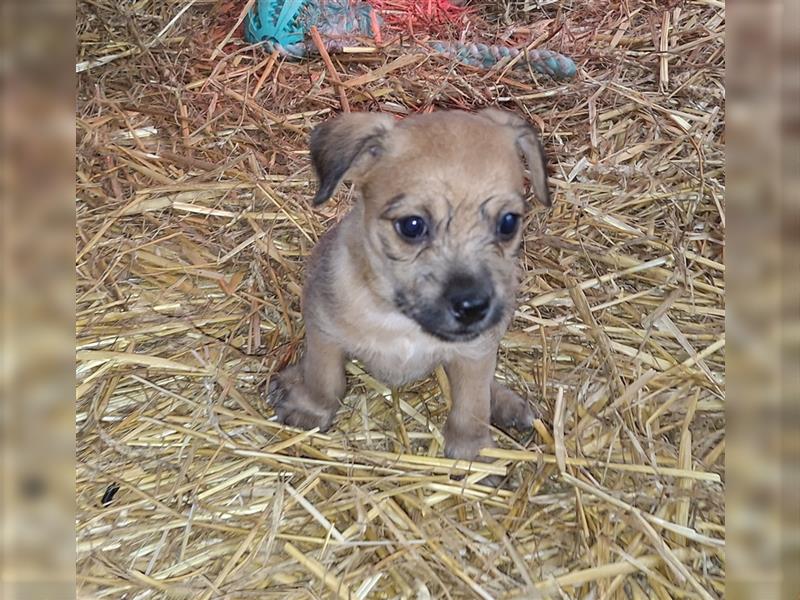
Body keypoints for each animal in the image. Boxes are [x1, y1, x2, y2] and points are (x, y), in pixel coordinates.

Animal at [268, 108, 552, 460]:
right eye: (412, 226)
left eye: (508, 223)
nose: (472, 307)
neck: (401, 320)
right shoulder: (324, 331)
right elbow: (324, 379)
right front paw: (310, 409)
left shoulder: (474, 352)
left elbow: (472, 405)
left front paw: (472, 451)